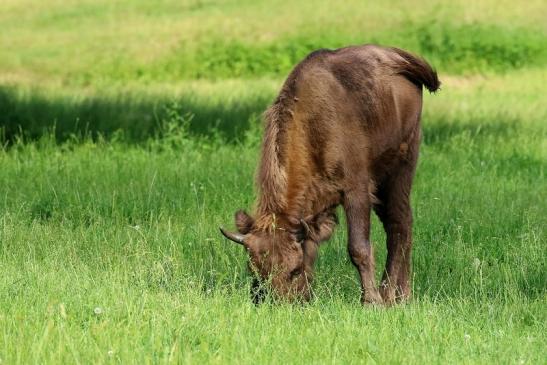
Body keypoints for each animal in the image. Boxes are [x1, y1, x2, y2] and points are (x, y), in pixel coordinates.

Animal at [220, 44, 438, 302]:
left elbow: (358, 247)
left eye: (294, 270)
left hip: (400, 167)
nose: (276, 302)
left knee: (399, 224)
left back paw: (392, 295)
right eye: (254, 269)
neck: (311, 123)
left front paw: (371, 301)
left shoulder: (356, 191)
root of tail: (398, 57)